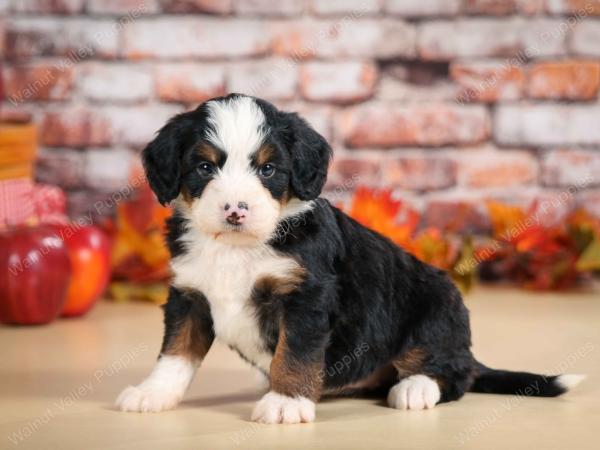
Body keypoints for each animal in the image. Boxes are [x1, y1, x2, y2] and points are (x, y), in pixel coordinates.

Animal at [115, 94, 584, 422]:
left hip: (435, 308)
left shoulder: (306, 297)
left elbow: (295, 353)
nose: (235, 210)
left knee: (453, 373)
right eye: (204, 168)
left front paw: (286, 401)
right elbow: (176, 353)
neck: (238, 246)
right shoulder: (190, 294)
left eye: (267, 170)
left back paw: (415, 388)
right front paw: (153, 393)